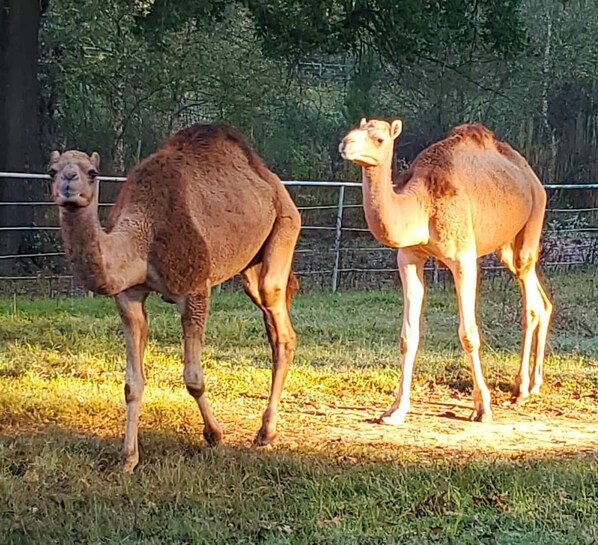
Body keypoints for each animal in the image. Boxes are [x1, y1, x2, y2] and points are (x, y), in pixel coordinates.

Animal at [49, 121, 302, 470]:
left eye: (92, 172)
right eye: (51, 171)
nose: (68, 184)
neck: (142, 236)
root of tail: (272, 181)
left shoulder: (196, 290)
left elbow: (193, 377)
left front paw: (215, 436)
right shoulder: (128, 297)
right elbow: (132, 383)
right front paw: (128, 459)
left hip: (285, 227)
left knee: (282, 325)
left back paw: (266, 432)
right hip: (250, 266)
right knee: (272, 327)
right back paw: (265, 429)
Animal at [340, 119, 556, 422]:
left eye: (380, 138)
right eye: (354, 131)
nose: (345, 144)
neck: (422, 204)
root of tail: (532, 177)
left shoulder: (463, 257)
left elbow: (468, 334)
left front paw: (482, 407)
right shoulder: (408, 256)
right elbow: (408, 335)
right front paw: (395, 410)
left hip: (533, 218)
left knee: (531, 304)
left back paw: (522, 389)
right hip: (506, 247)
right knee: (541, 300)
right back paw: (532, 385)